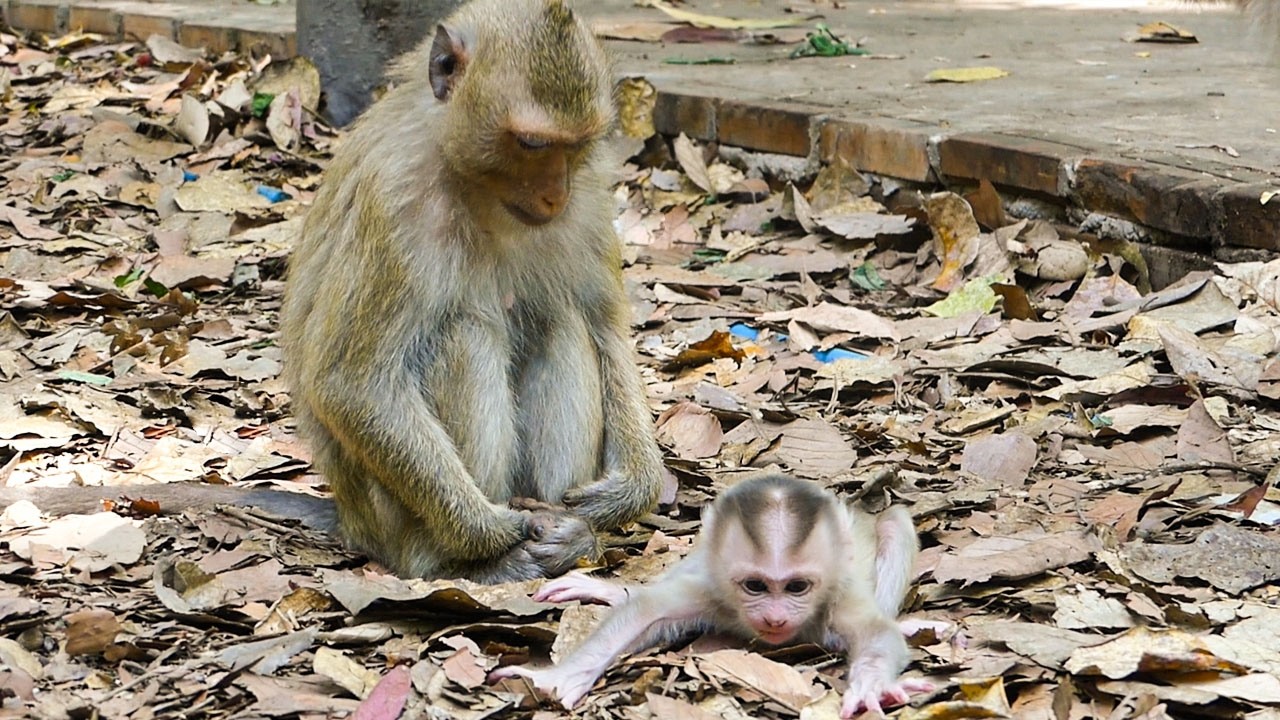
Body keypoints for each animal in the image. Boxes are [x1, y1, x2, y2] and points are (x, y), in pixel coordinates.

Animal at [275, 0, 664, 583]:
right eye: (532, 144)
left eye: (575, 146)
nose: (556, 195)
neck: (473, 183)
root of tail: (352, 519)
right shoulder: (394, 202)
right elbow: (351, 383)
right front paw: (488, 531)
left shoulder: (591, 198)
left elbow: (605, 329)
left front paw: (630, 490)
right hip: (390, 517)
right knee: (464, 331)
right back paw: (472, 561)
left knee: (561, 321)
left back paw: (569, 534)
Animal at [488, 473, 933, 717]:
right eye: (755, 586)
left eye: (796, 587)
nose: (774, 618)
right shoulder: (713, 590)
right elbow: (647, 611)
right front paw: (558, 679)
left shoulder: (837, 599)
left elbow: (876, 635)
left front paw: (871, 686)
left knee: (895, 522)